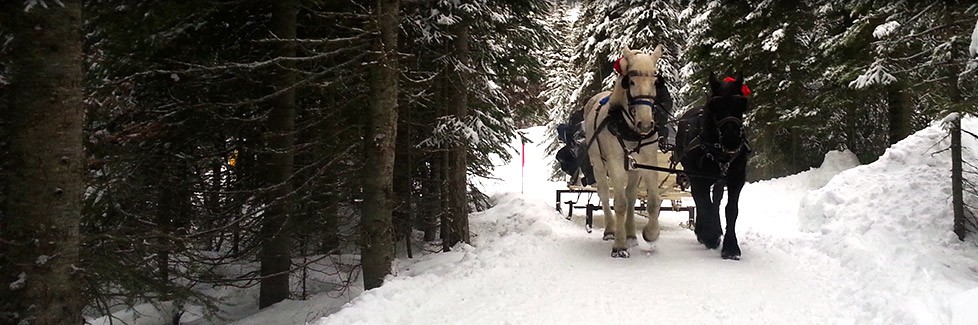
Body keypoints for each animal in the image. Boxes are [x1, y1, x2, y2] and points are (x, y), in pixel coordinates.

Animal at [588, 45, 664, 258]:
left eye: (655, 81)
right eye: (630, 81)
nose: (645, 124)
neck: (630, 130)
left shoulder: (648, 162)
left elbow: (652, 202)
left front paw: (650, 234)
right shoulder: (615, 163)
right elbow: (619, 203)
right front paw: (619, 245)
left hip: (633, 168)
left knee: (631, 196)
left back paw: (631, 234)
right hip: (598, 163)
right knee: (605, 194)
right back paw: (610, 230)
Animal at [676, 72, 752, 260]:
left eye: (741, 103)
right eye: (715, 105)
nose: (732, 140)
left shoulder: (736, 178)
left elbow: (731, 210)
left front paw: (731, 247)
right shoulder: (698, 178)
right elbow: (704, 203)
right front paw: (709, 236)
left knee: (716, 199)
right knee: (701, 201)